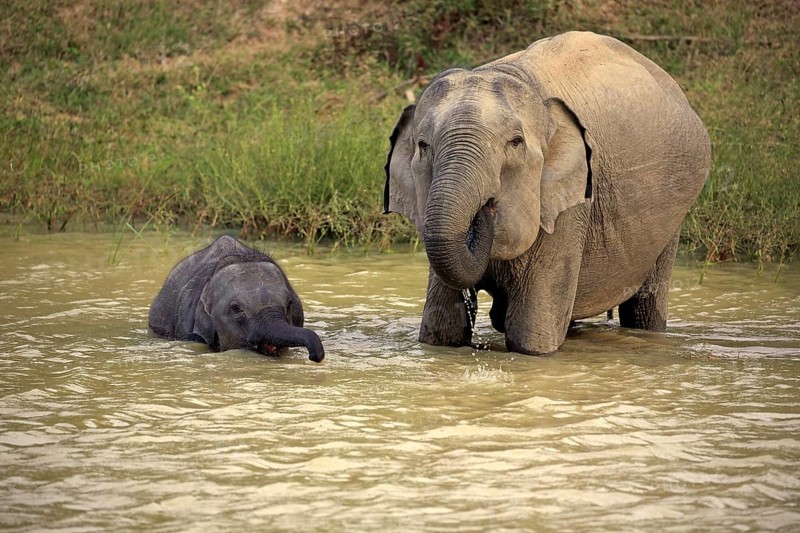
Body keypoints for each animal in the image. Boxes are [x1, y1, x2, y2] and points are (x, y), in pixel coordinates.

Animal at [383, 31, 711, 355]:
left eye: (515, 142)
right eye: (423, 145)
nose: (487, 207)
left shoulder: (573, 204)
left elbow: (529, 338)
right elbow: (441, 331)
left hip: (674, 213)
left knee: (644, 306)